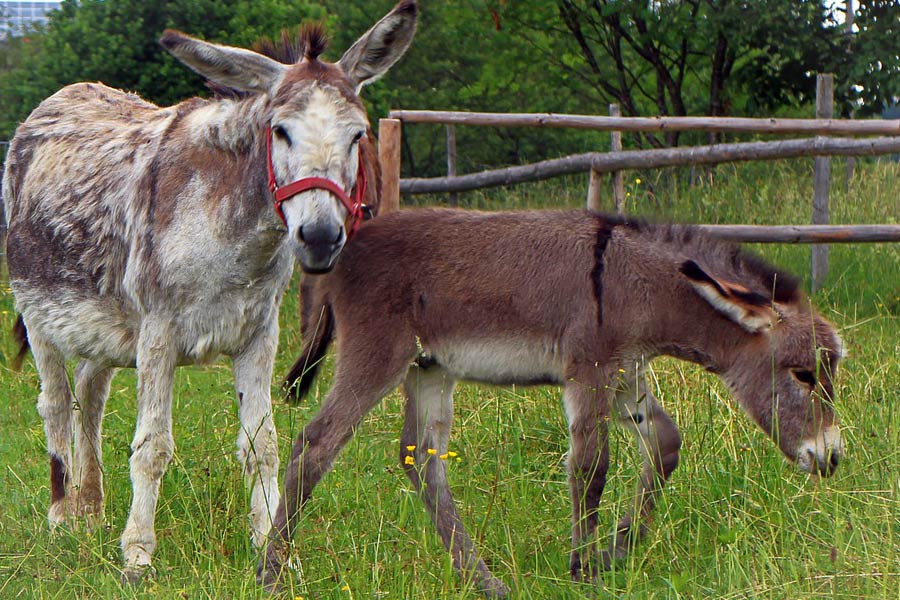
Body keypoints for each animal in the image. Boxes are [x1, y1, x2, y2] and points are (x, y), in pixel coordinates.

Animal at [262, 209, 844, 592]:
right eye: (804, 375)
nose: (833, 457)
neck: (635, 281)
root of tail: (344, 249)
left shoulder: (626, 375)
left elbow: (665, 444)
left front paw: (617, 551)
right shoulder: (590, 371)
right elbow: (591, 467)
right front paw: (583, 569)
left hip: (430, 369)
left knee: (421, 461)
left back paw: (484, 581)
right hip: (378, 355)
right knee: (316, 444)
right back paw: (272, 572)